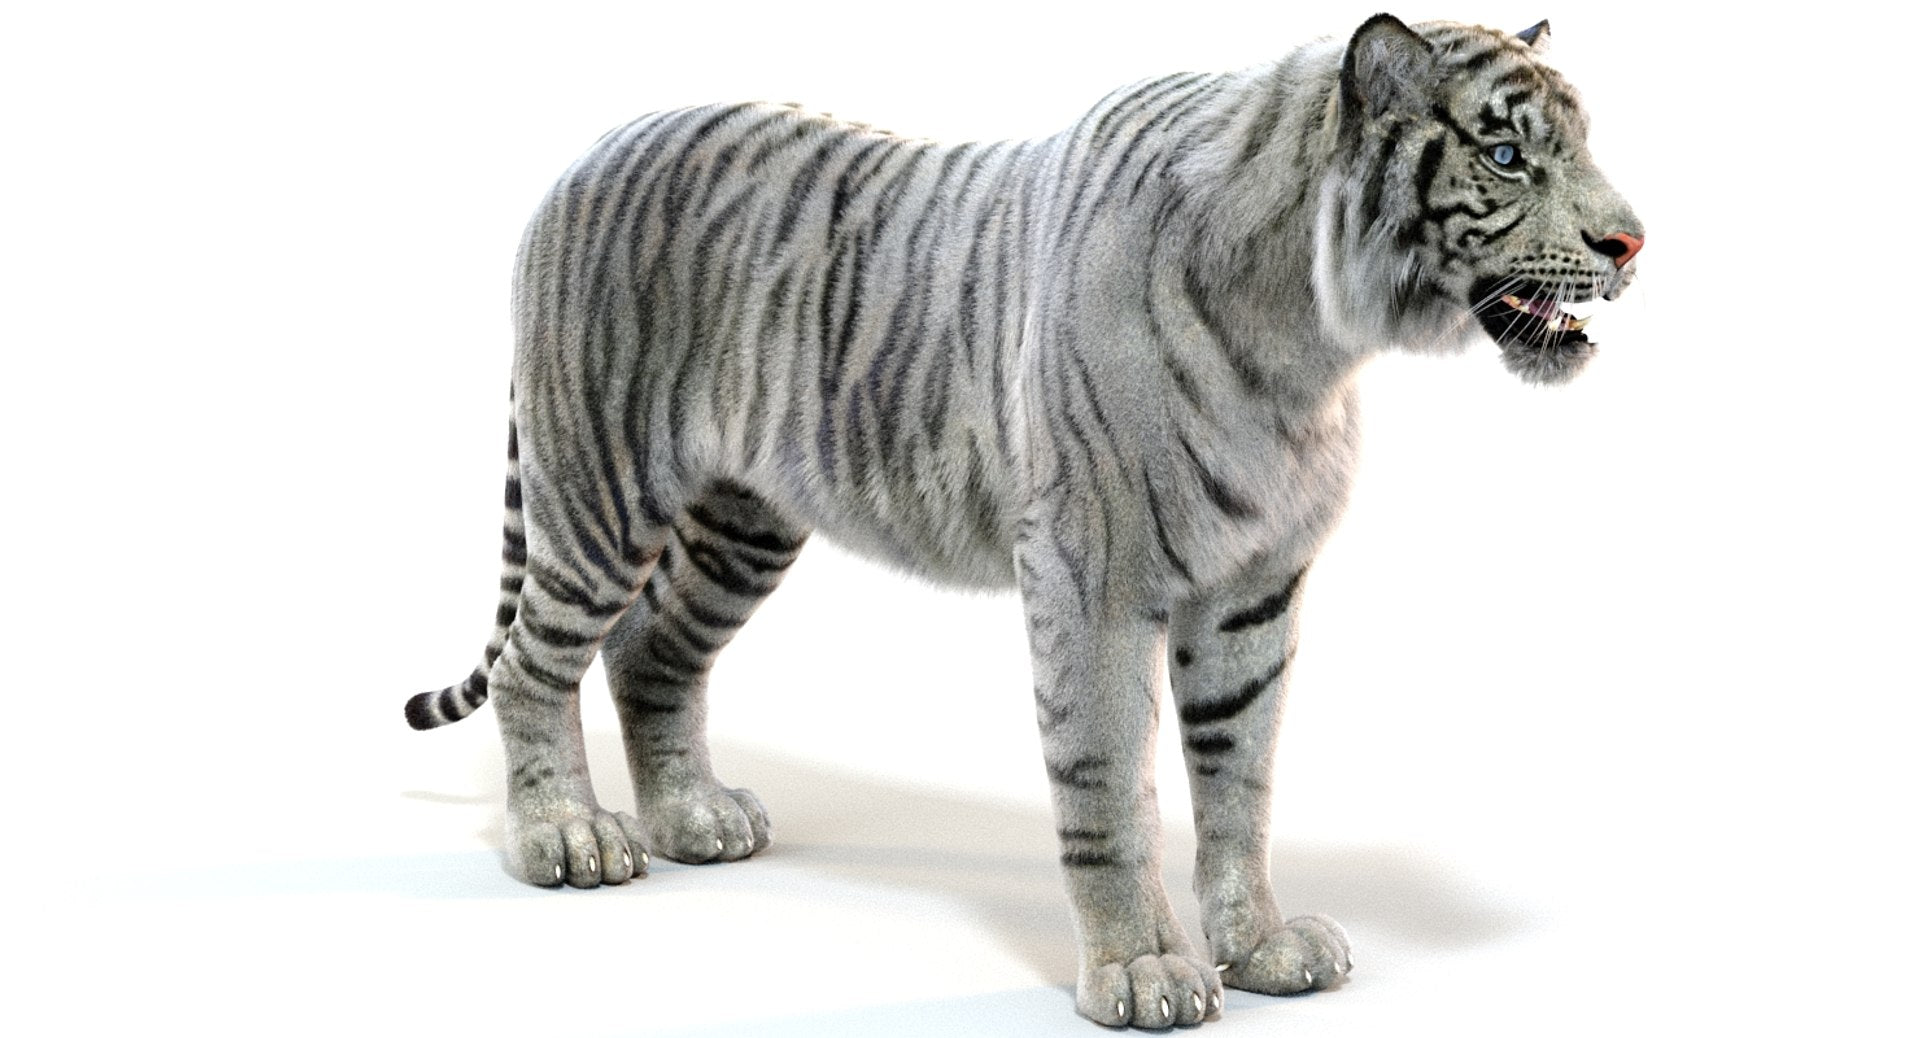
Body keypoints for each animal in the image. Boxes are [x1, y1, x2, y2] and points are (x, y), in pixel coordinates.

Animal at [404, 13, 1641, 1027]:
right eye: (1506, 155)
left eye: (1580, 144)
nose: (1633, 241)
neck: (1311, 338)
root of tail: (590, 149)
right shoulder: (1093, 572)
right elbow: (1108, 781)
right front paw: (1142, 975)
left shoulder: (1253, 589)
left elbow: (1240, 778)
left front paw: (1260, 947)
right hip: (598, 489)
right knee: (533, 666)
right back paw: (566, 841)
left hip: (743, 523)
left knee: (650, 653)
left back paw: (694, 821)